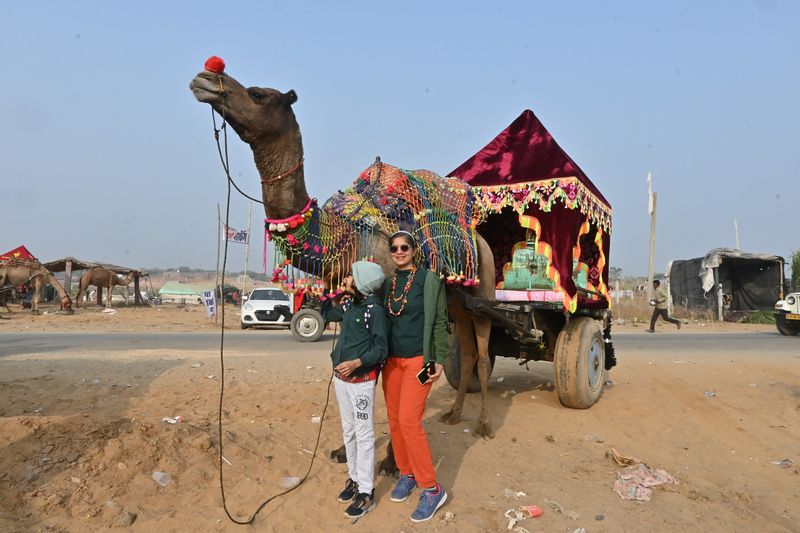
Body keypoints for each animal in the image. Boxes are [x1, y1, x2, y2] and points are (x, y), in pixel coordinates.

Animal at [190, 60, 496, 438]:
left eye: (257, 94)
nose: (207, 76)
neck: (340, 233)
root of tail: (479, 238)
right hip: (456, 301)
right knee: (466, 353)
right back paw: (453, 414)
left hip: (484, 288)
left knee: (482, 354)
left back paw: (483, 424)